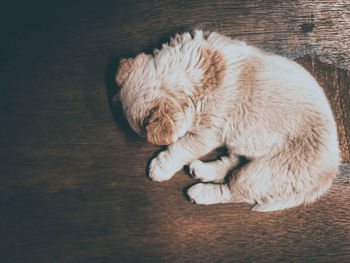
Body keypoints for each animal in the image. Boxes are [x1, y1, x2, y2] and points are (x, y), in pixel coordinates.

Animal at [115, 30, 340, 212]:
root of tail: (329, 175)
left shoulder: (206, 134)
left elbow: (180, 148)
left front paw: (160, 167)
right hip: (249, 151)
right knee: (230, 164)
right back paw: (202, 170)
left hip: (263, 173)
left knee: (233, 190)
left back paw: (199, 193)